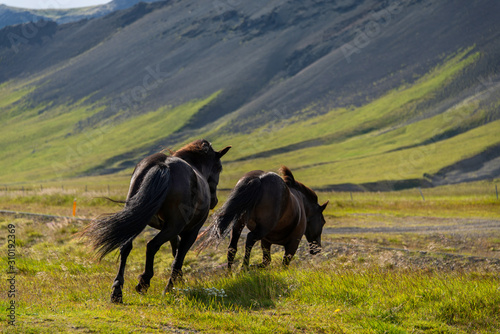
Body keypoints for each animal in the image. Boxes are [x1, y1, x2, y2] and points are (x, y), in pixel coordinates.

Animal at [82, 139, 230, 302]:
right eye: (219, 168)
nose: (214, 201)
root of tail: (163, 165)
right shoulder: (190, 232)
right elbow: (178, 257)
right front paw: (173, 285)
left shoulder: (171, 231)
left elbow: (175, 251)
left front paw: (180, 279)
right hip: (172, 226)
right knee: (152, 245)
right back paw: (147, 284)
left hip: (138, 219)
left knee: (126, 247)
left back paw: (117, 292)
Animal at [199, 166, 328, 270]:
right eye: (323, 222)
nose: (317, 249)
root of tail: (258, 179)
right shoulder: (292, 244)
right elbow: (283, 264)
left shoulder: (266, 241)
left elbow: (267, 261)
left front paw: (254, 266)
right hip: (262, 229)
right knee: (249, 239)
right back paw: (244, 268)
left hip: (238, 224)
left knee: (232, 248)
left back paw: (230, 273)